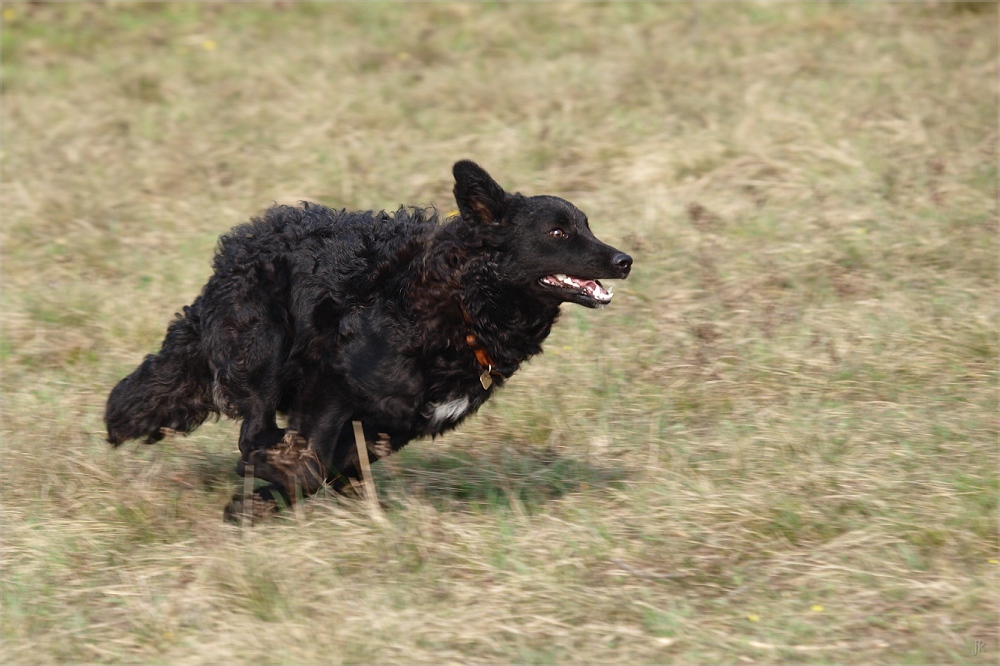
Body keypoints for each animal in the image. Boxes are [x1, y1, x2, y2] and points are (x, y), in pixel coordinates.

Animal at [103, 162, 632, 520]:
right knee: (253, 430)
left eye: (587, 225)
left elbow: (338, 464)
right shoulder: (332, 384)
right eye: (558, 232)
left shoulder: (392, 423)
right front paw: (262, 491)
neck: (465, 301)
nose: (625, 260)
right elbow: (309, 463)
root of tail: (236, 249)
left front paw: (267, 495)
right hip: (262, 345)